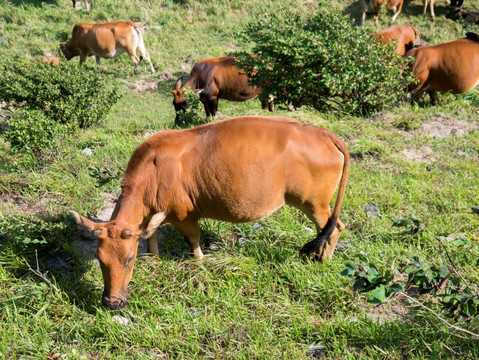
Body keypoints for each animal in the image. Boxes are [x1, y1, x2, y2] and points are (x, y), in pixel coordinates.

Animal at [70, 115, 348, 310]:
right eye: (99, 259)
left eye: (129, 260)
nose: (112, 303)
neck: (153, 170)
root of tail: (322, 133)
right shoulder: (150, 215)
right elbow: (151, 235)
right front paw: (154, 257)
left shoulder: (183, 216)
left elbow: (194, 242)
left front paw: (201, 263)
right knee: (329, 229)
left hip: (314, 203)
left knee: (335, 229)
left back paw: (323, 261)